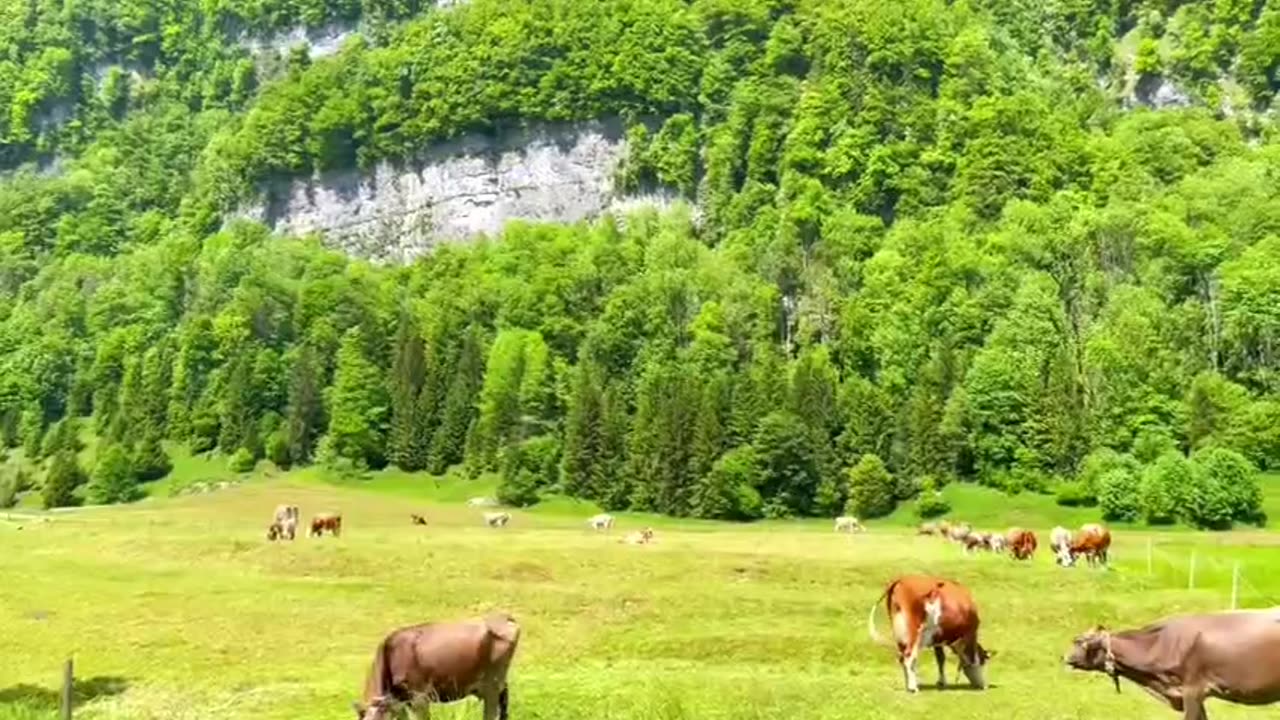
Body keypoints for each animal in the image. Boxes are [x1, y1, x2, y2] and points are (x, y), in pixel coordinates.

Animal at [865, 571, 993, 691]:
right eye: (983, 661)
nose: (984, 686)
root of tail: (901, 579)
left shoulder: (938, 637)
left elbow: (940, 659)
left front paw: (941, 682)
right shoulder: (968, 633)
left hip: (899, 633)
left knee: (902, 657)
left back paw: (908, 685)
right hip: (914, 631)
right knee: (909, 656)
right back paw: (913, 688)